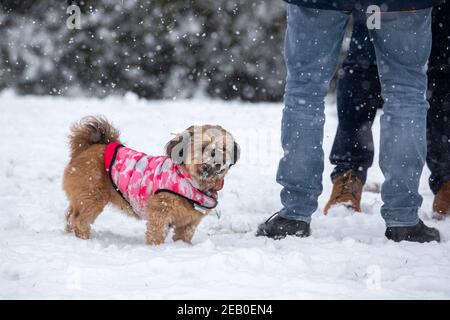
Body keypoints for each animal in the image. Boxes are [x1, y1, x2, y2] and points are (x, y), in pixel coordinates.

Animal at [63, 117, 241, 245]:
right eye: (203, 146)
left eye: (224, 147)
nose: (216, 154)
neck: (190, 180)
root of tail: (86, 148)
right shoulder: (160, 211)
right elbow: (156, 232)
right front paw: (156, 248)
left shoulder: (189, 222)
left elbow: (183, 236)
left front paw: (183, 248)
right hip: (92, 197)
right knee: (78, 220)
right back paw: (85, 238)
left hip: (82, 199)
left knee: (70, 216)